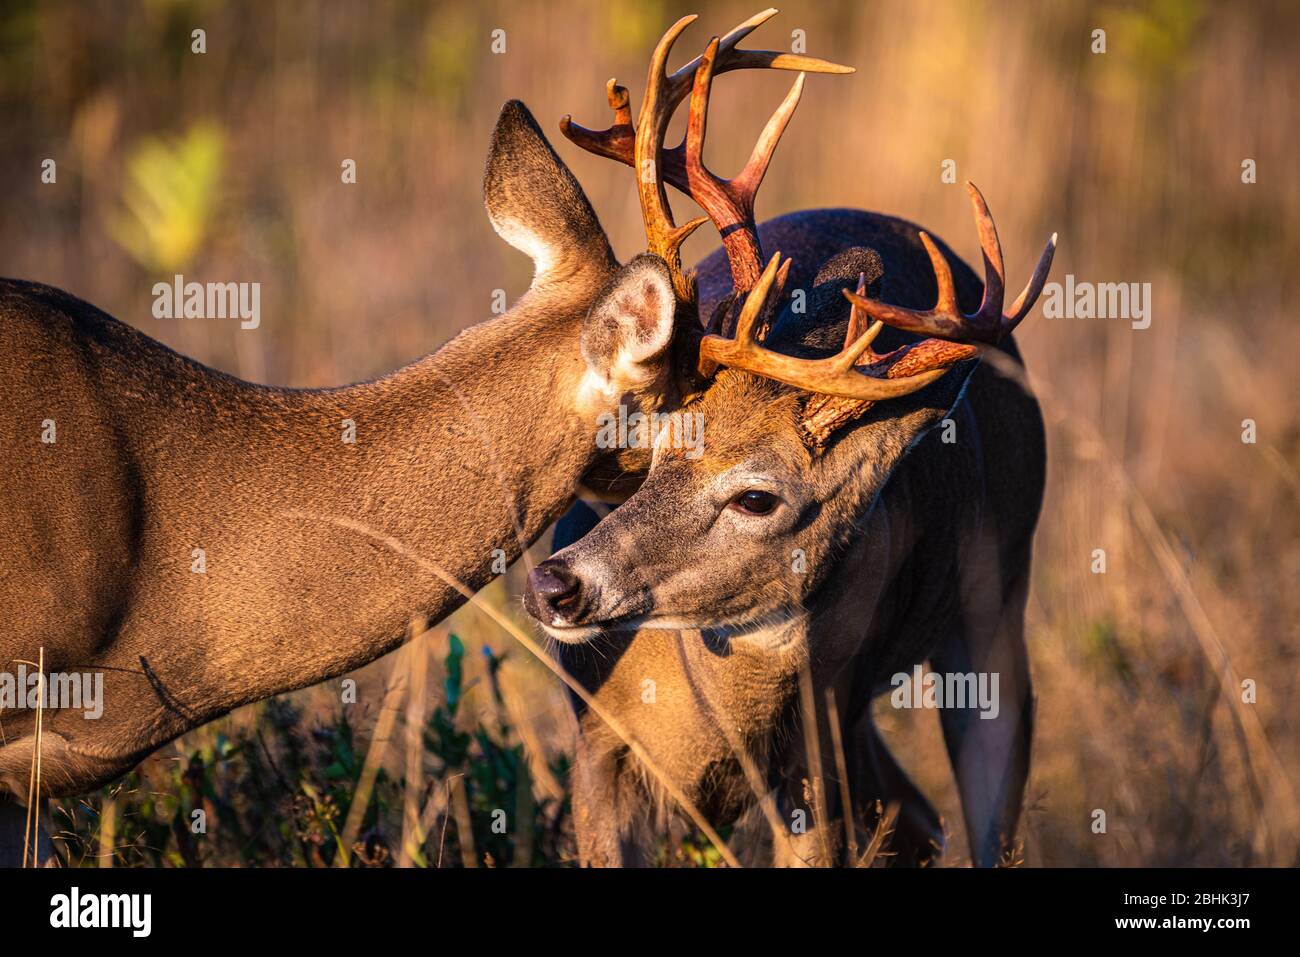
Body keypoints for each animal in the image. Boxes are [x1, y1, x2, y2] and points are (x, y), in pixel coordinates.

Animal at [525, 9, 1055, 868]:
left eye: (757, 497)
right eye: (661, 449)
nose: (555, 583)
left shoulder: (812, 764)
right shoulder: (597, 743)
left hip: (997, 602)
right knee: (915, 812)